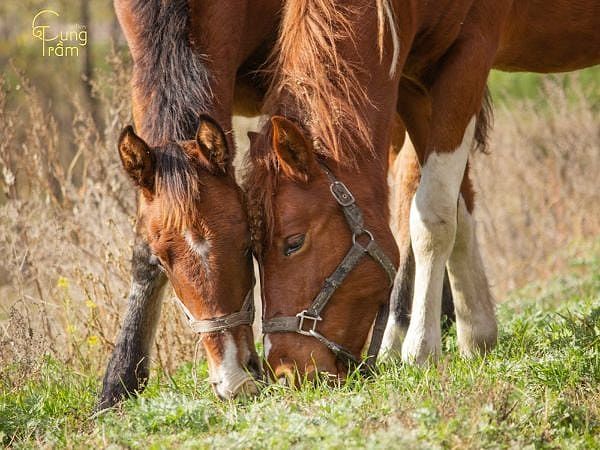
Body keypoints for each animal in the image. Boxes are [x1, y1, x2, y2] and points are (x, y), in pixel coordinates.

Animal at [246, 0, 596, 380]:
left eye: (294, 243)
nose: (285, 369)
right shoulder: (415, 85)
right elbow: (457, 210)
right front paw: (477, 333)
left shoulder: (468, 61)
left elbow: (433, 217)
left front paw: (421, 349)